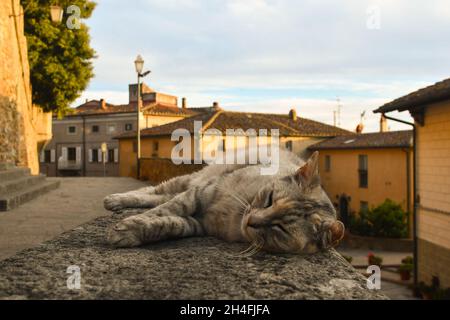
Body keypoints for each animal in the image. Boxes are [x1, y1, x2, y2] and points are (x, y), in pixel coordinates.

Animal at [104, 150, 344, 255]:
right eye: (269, 199)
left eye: (280, 229)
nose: (251, 221)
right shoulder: (201, 192)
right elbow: (167, 210)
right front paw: (130, 226)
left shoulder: (199, 225)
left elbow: (168, 224)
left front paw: (134, 230)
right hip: (191, 179)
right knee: (155, 191)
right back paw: (115, 200)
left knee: (161, 196)